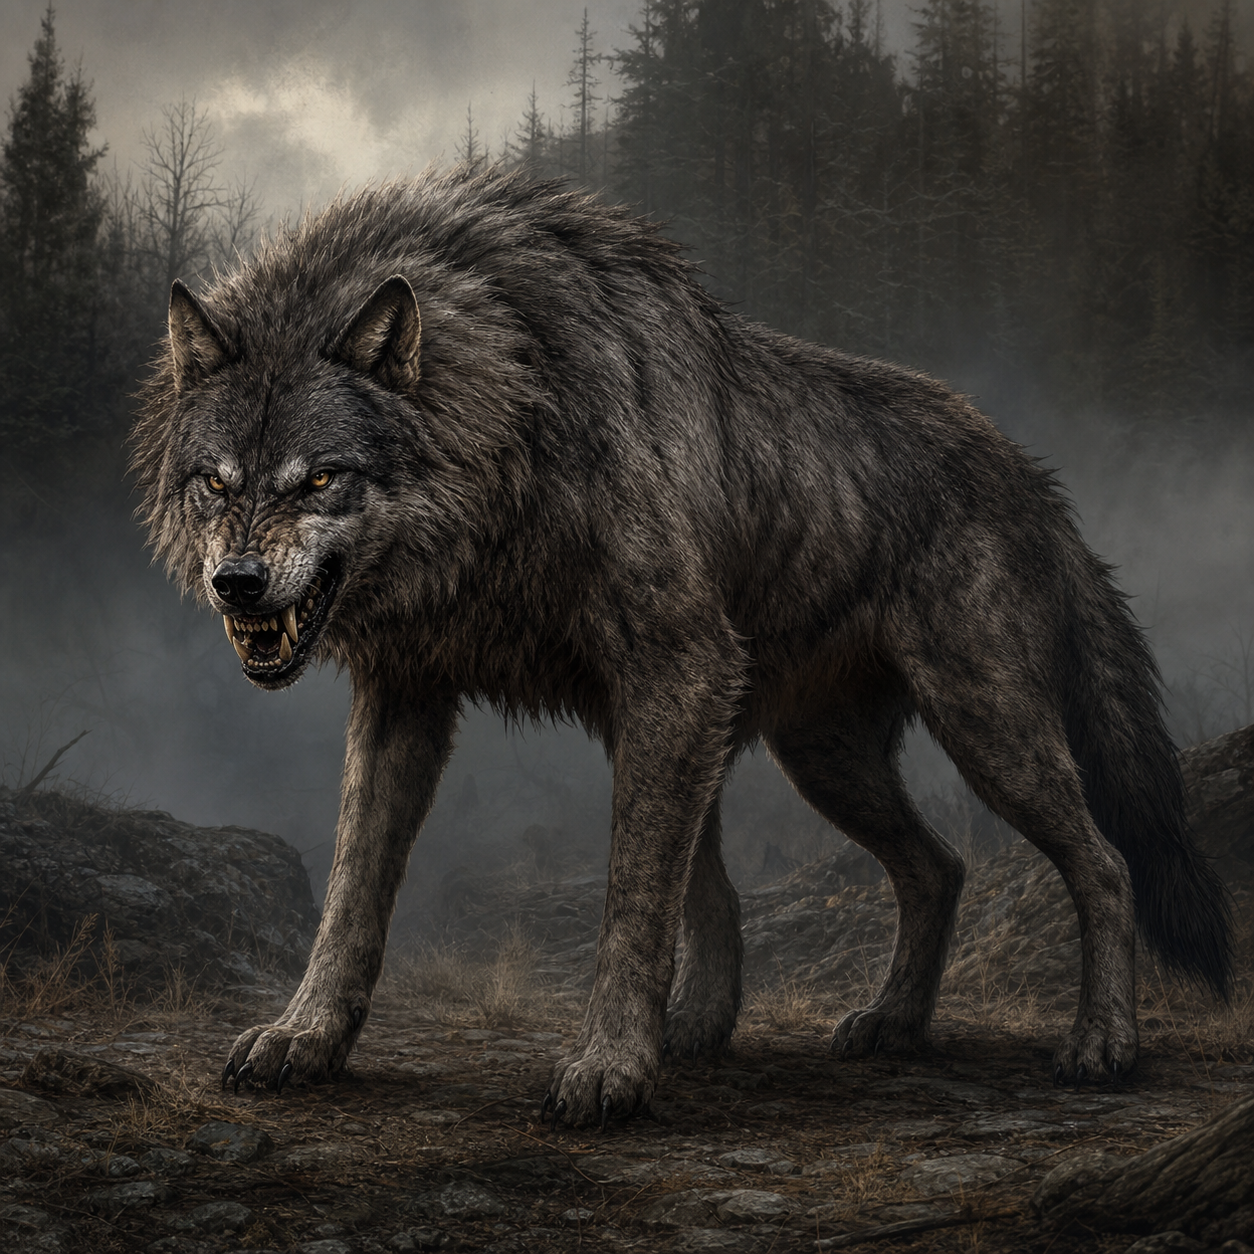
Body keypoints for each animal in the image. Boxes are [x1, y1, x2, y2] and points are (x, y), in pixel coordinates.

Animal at [132, 165, 1231, 1128]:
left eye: (320, 479)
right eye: (217, 483)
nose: (236, 584)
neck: (515, 423)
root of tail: (1031, 472)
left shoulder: (678, 670)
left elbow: (634, 896)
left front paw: (612, 1067)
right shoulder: (417, 692)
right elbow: (357, 886)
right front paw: (306, 1037)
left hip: (982, 729)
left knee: (1103, 862)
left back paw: (1102, 1045)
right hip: (823, 757)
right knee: (940, 867)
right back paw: (884, 1023)